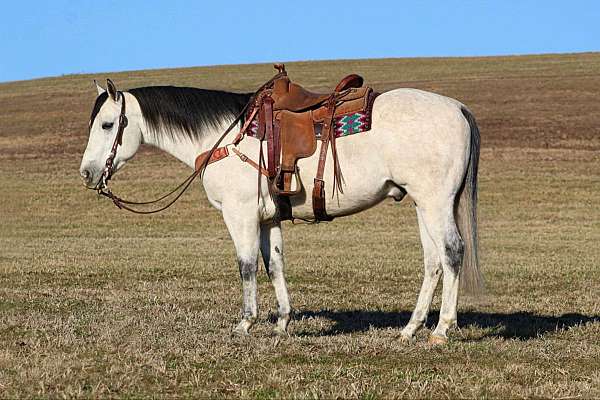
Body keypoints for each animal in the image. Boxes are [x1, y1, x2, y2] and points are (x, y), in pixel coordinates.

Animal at [79, 76, 482, 346]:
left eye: (108, 124)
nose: (87, 173)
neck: (225, 137)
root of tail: (458, 108)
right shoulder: (267, 219)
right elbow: (274, 264)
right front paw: (282, 322)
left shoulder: (239, 214)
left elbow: (246, 266)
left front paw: (245, 324)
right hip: (422, 203)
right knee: (433, 261)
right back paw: (410, 329)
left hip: (435, 201)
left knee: (452, 252)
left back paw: (442, 330)